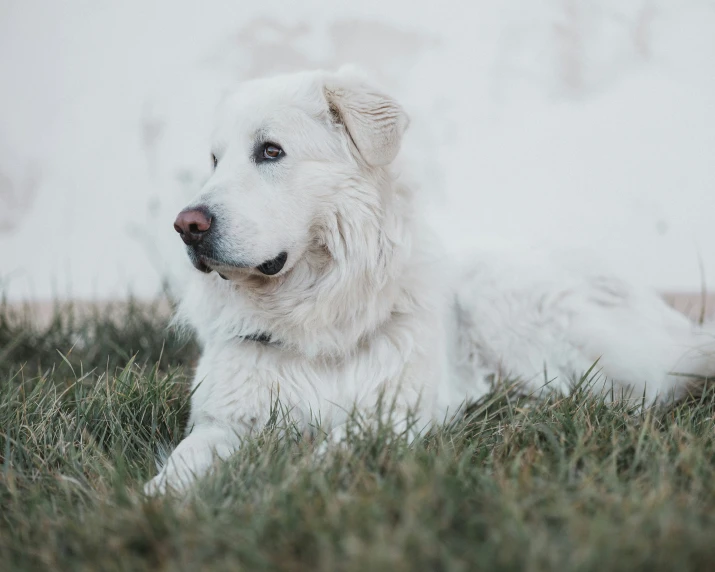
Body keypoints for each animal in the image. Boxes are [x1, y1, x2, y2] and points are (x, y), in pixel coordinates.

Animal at [143, 67, 712, 494]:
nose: (186, 226)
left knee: (642, 389)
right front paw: (155, 508)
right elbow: (178, 471)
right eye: (214, 161)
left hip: (508, 304)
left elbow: (322, 461)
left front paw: (282, 486)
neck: (315, 312)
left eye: (270, 151)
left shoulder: (385, 418)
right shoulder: (224, 422)